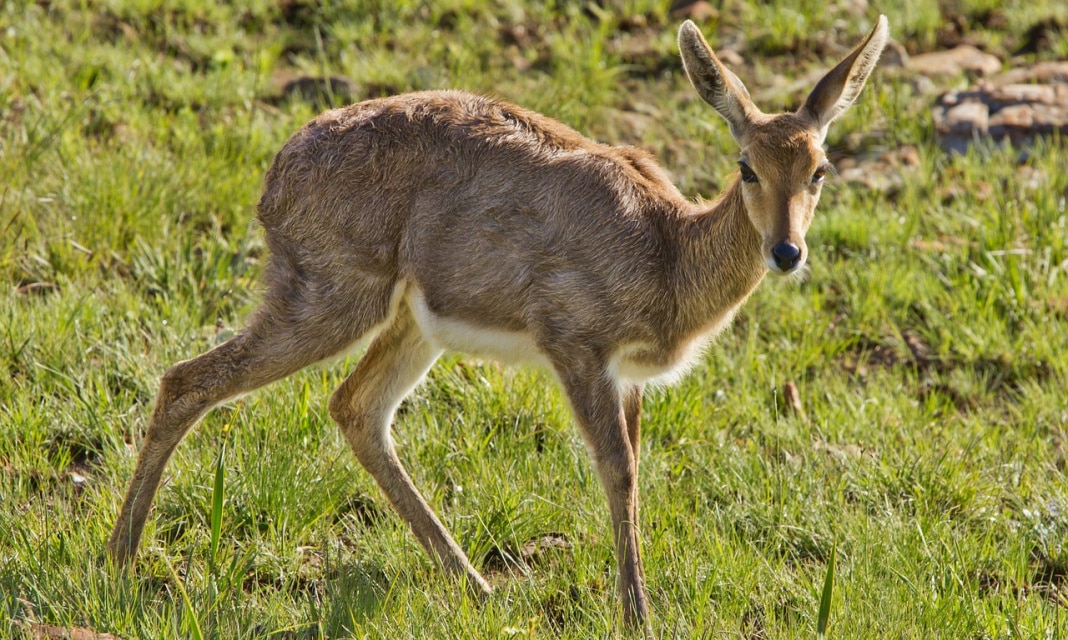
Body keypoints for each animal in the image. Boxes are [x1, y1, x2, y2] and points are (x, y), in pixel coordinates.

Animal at [110, 16, 892, 632]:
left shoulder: (630, 378)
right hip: (329, 301)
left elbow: (636, 470)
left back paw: (479, 587)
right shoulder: (576, 348)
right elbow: (619, 470)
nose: (787, 252)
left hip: (411, 325)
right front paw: (637, 616)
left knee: (355, 408)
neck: (668, 249)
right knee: (187, 380)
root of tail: (276, 174)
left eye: (820, 169)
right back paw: (119, 559)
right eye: (747, 166)